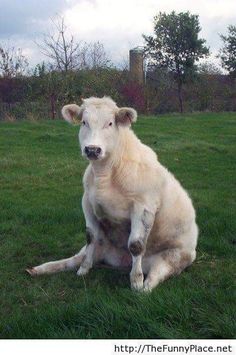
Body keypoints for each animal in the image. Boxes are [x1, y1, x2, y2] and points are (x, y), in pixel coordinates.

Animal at [26, 96, 198, 292]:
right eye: (84, 122)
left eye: (110, 123)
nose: (92, 149)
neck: (105, 174)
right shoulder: (87, 202)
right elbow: (90, 236)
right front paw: (84, 269)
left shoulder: (143, 207)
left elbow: (136, 245)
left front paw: (136, 282)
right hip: (101, 247)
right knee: (73, 259)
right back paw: (39, 269)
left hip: (174, 257)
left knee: (156, 274)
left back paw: (145, 286)